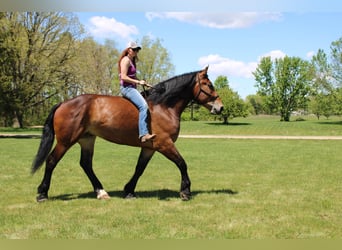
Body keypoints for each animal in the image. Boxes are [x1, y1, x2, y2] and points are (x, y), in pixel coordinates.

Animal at [31, 66, 224, 201]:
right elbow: (182, 164)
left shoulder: (150, 147)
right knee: (51, 161)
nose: (221, 107)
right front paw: (185, 191)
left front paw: (129, 190)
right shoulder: (165, 144)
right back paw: (42, 193)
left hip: (87, 140)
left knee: (86, 164)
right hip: (65, 141)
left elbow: (139, 168)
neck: (163, 106)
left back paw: (101, 192)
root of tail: (63, 103)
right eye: (209, 85)